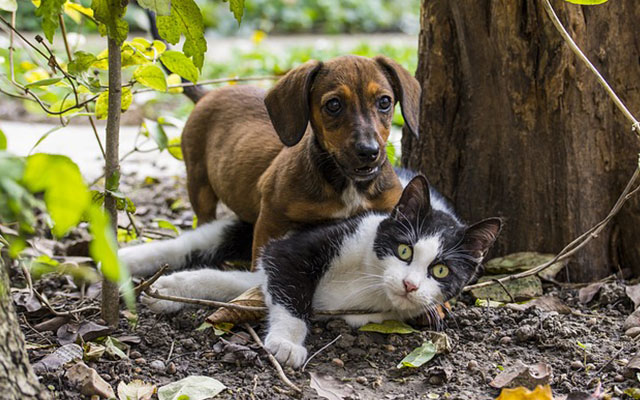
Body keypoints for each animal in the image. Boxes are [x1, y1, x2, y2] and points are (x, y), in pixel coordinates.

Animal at [119, 173, 500, 368]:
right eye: (404, 250)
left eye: (441, 271)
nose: (409, 285)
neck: (370, 279)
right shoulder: (298, 246)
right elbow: (290, 290)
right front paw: (287, 343)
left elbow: (236, 283)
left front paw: (173, 290)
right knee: (193, 242)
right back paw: (123, 259)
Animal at [182, 55, 420, 262]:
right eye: (334, 105)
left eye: (384, 102)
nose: (369, 152)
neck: (347, 184)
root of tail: (207, 95)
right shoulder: (271, 218)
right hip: (199, 185)